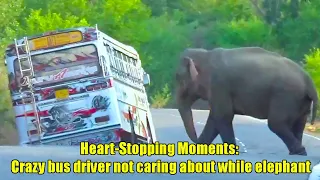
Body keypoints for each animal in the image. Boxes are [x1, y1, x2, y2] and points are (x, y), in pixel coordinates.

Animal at [175, 46, 318, 156]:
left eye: (178, 78)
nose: (195, 140)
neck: (206, 54)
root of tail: (308, 80)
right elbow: (215, 118)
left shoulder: (219, 86)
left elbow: (222, 116)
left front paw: (231, 152)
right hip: (300, 101)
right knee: (298, 124)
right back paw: (297, 152)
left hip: (285, 96)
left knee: (276, 123)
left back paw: (299, 152)